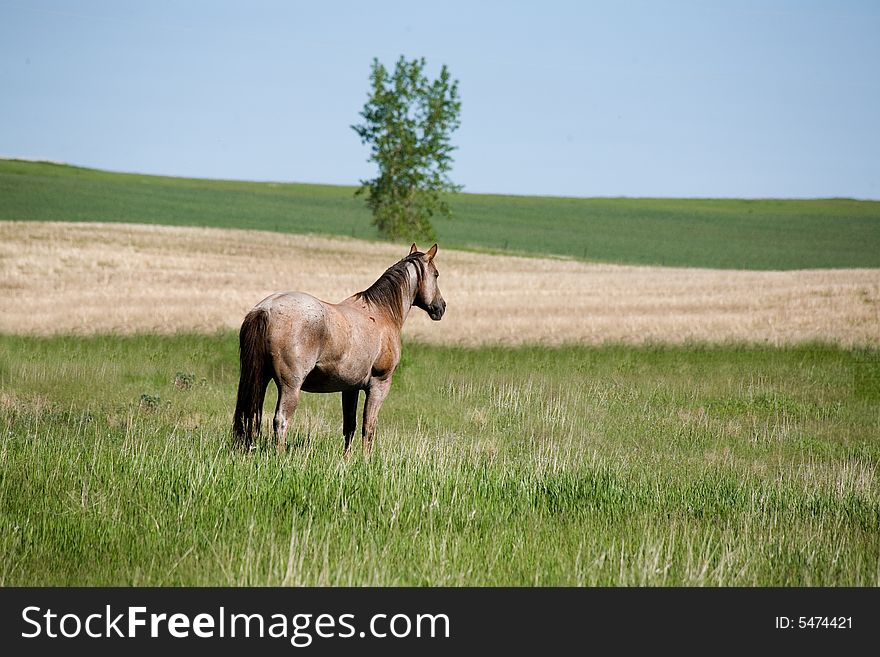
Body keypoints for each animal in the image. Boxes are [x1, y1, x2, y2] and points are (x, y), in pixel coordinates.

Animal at [232, 243, 446, 454]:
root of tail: (265, 309)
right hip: (290, 386)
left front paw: (347, 459)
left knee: (250, 416)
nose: (441, 307)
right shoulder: (379, 385)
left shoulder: (350, 388)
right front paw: (365, 460)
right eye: (436, 274)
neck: (381, 313)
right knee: (281, 420)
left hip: (261, 378)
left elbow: (349, 427)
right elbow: (368, 427)